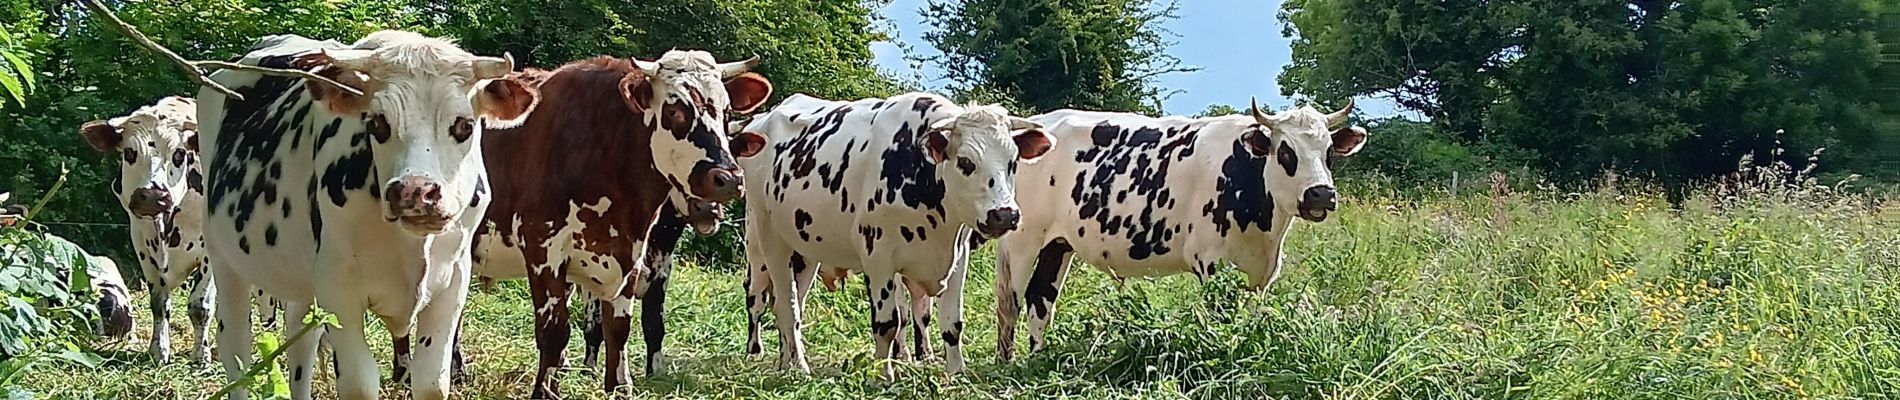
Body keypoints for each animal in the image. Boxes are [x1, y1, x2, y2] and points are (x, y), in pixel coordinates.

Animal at [79, 96, 277, 362]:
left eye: (179, 154)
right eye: (129, 152)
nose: (152, 195)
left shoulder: (210, 251)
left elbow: (200, 306)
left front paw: (201, 356)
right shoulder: (141, 242)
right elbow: (159, 303)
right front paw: (159, 350)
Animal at [197, 31, 539, 400]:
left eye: (464, 125)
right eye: (377, 124)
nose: (414, 192)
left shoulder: (454, 281)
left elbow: (432, 382)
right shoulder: (339, 289)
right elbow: (359, 384)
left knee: (299, 343)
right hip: (224, 259)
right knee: (237, 350)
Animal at [471, 53, 767, 400]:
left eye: (726, 110)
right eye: (675, 109)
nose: (728, 179)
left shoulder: (629, 257)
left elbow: (619, 330)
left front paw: (618, 386)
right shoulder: (544, 250)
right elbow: (555, 332)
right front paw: (546, 391)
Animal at [733, 91, 1056, 375]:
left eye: (1013, 162)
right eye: (966, 162)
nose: (1005, 214)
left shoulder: (958, 257)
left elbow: (952, 324)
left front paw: (957, 372)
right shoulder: (878, 258)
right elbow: (888, 323)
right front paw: (882, 376)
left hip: (805, 252)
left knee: (792, 305)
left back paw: (786, 362)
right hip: (769, 243)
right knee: (783, 306)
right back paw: (798, 367)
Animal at [995, 97, 1368, 360]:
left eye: (1329, 151)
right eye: (1286, 151)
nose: (1321, 194)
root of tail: (1039, 124)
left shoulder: (1259, 275)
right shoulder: (1212, 263)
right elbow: (1221, 319)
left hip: (1058, 244)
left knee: (1040, 296)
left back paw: (1038, 358)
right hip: (1022, 242)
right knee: (1010, 302)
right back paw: (1009, 364)